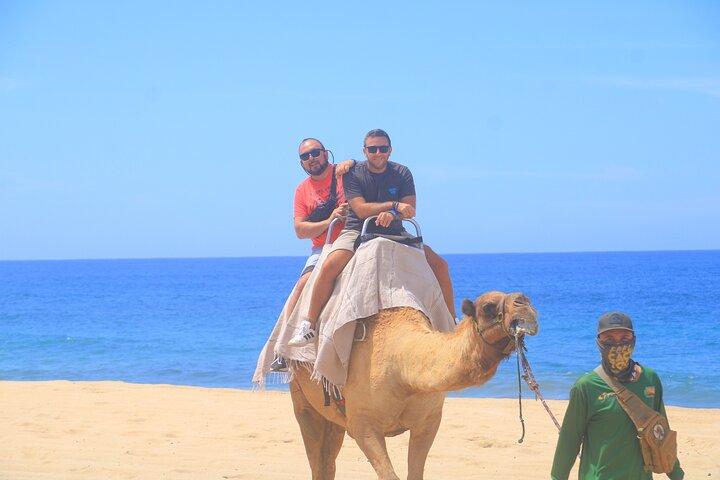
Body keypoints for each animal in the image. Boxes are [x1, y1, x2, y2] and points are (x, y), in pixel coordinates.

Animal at [289, 290, 539, 480]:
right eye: (488, 307)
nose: (525, 302)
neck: (403, 367)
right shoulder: (363, 425)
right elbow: (389, 475)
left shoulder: (429, 420)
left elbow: (415, 473)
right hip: (301, 395)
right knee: (316, 455)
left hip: (334, 418)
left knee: (328, 458)